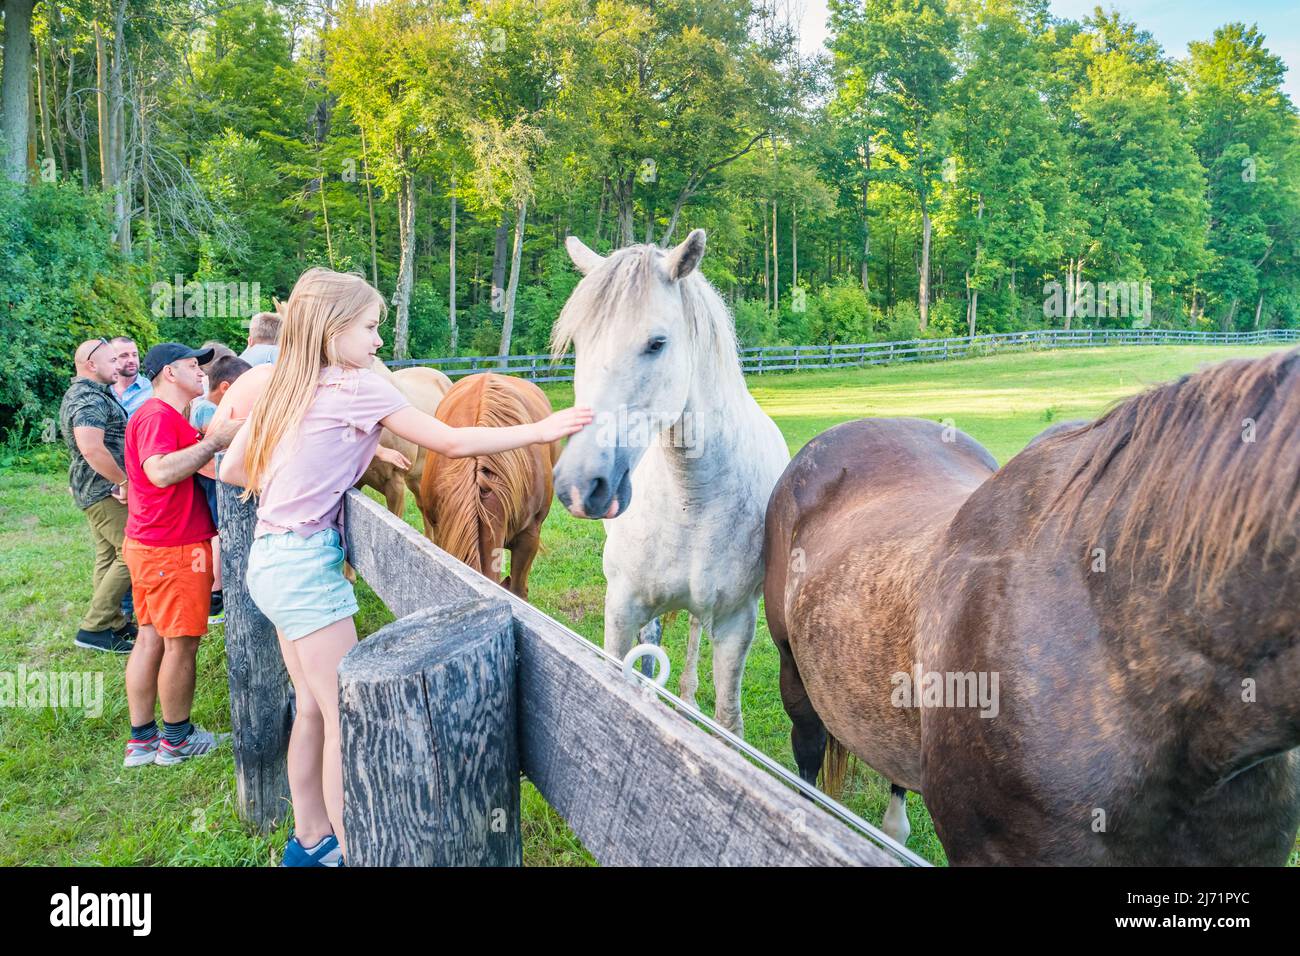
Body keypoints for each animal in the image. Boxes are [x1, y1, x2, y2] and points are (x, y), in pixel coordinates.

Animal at [551, 227, 785, 738]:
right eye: (578, 342)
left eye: (656, 343)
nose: (579, 486)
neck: (691, 500)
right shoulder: (621, 609)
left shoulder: (737, 623)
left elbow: (728, 720)